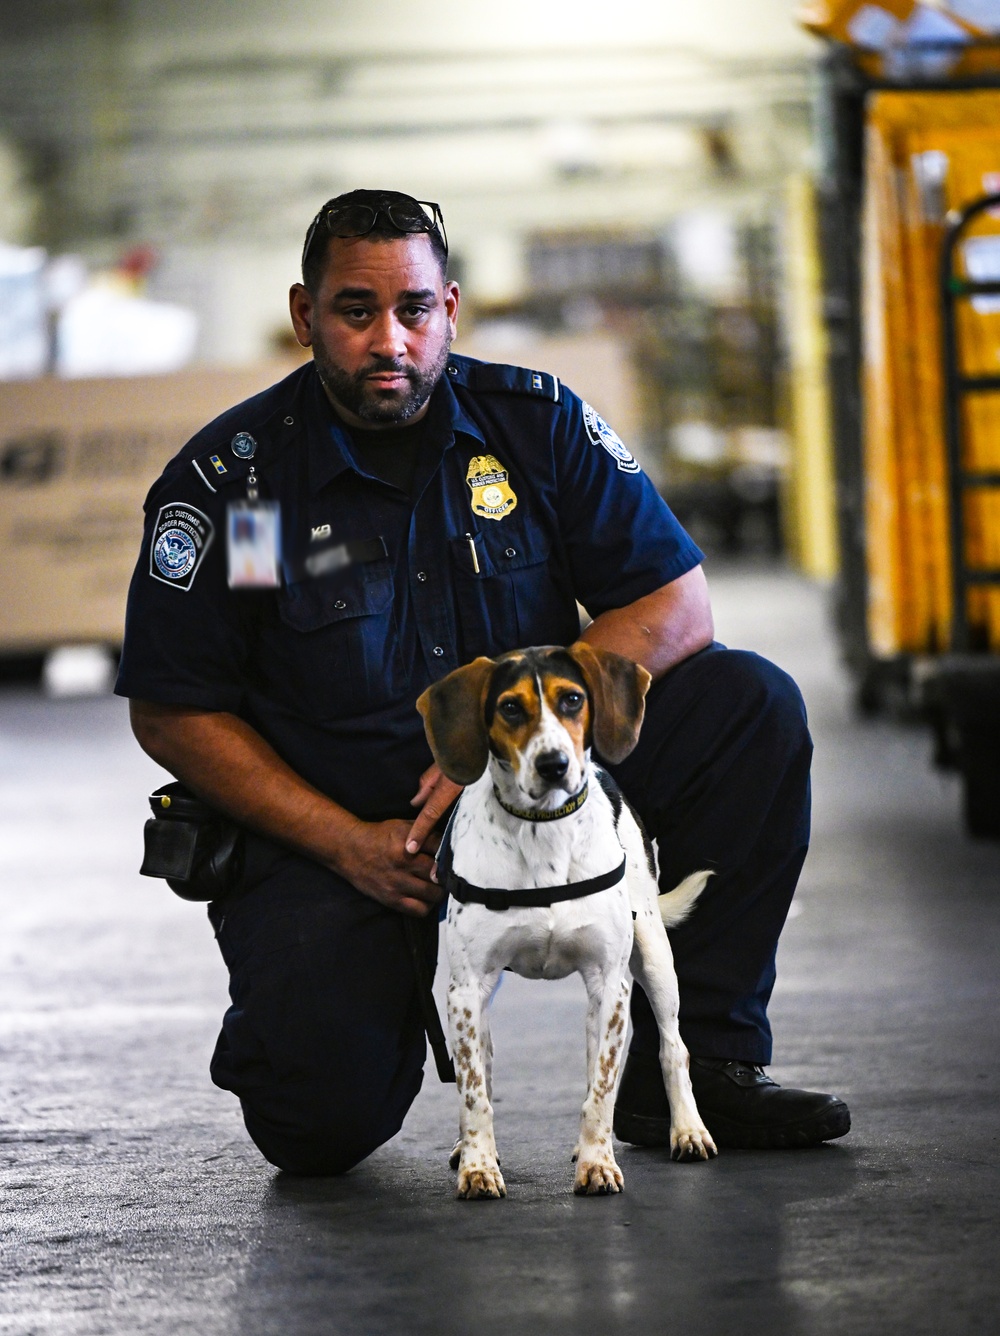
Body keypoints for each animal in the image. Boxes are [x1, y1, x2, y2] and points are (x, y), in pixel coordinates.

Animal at [416, 641, 715, 1207]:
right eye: (510, 707)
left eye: (572, 699)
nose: (554, 765)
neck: (543, 830)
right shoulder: (465, 991)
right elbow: (474, 1091)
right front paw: (478, 1166)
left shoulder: (611, 983)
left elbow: (602, 1088)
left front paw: (598, 1162)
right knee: (486, 1068)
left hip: (653, 961)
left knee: (672, 1047)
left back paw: (686, 1130)